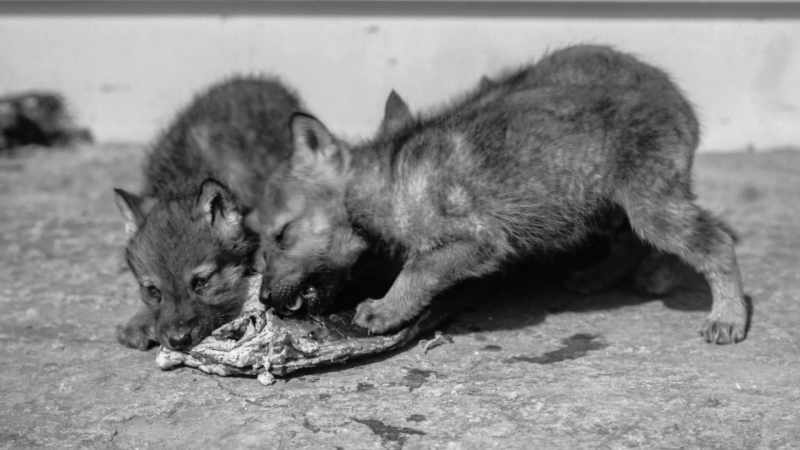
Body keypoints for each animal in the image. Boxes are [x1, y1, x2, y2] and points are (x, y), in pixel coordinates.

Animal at [113, 76, 303, 351]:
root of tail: (258, 79)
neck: (186, 181)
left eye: (201, 282)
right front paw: (139, 320)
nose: (178, 341)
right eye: (153, 291)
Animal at [256, 47, 749, 345]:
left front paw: (385, 310)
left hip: (648, 203)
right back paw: (605, 276)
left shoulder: (477, 241)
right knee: (636, 241)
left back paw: (726, 315)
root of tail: (679, 101)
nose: (261, 298)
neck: (388, 181)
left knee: (715, 241)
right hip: (605, 200)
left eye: (280, 235)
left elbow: (418, 270)